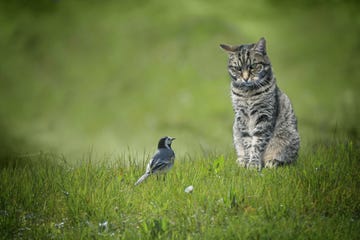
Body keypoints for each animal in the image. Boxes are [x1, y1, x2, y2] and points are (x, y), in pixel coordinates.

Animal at [221, 37, 300, 170]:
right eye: (238, 69)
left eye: (253, 66)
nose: (245, 78)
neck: (248, 93)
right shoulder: (241, 117)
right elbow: (247, 142)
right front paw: (247, 161)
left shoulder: (264, 116)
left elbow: (257, 142)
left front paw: (253, 164)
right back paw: (241, 160)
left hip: (289, 137)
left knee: (287, 159)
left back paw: (272, 162)